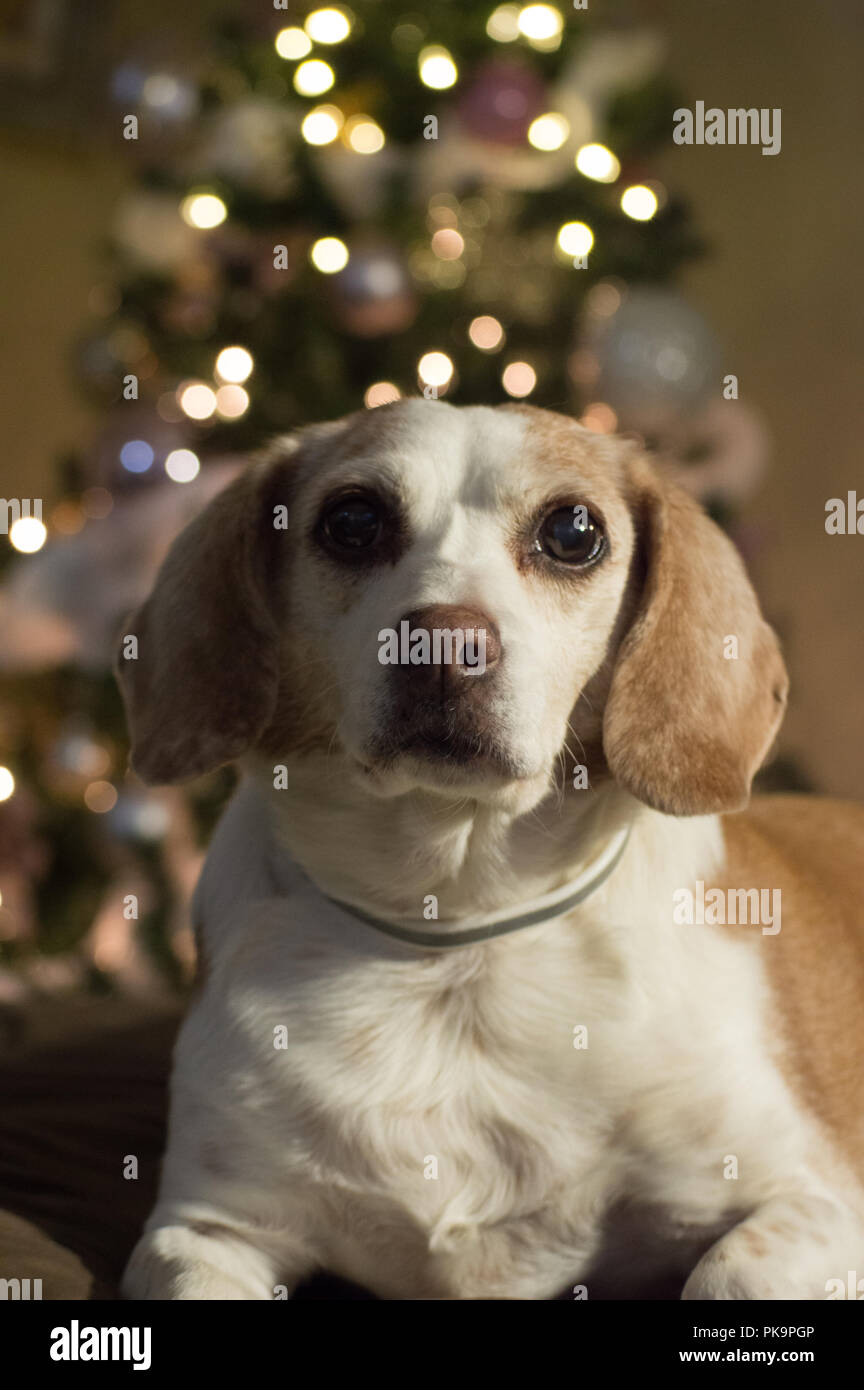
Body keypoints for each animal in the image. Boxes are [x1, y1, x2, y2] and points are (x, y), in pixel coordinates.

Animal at [118, 403, 864, 1301]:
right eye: (352, 520)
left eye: (573, 531)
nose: (443, 645)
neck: (456, 930)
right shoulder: (205, 1229)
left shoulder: (814, 1198)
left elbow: (729, 1274)